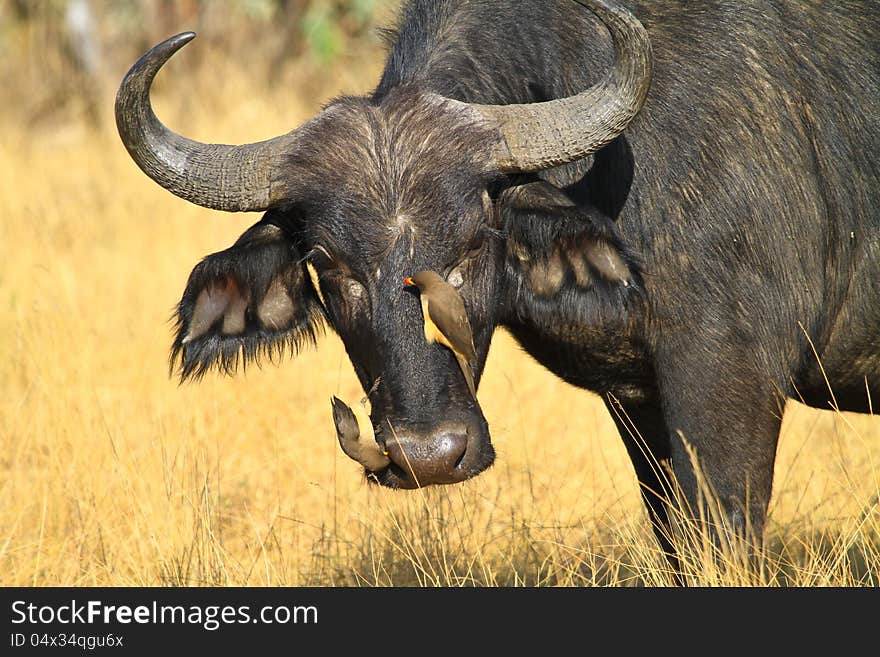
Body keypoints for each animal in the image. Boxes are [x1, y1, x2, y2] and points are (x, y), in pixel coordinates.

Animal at [117, 0, 880, 564]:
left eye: (472, 242)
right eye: (329, 264)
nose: (427, 457)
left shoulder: (730, 379)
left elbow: (721, 536)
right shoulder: (640, 403)